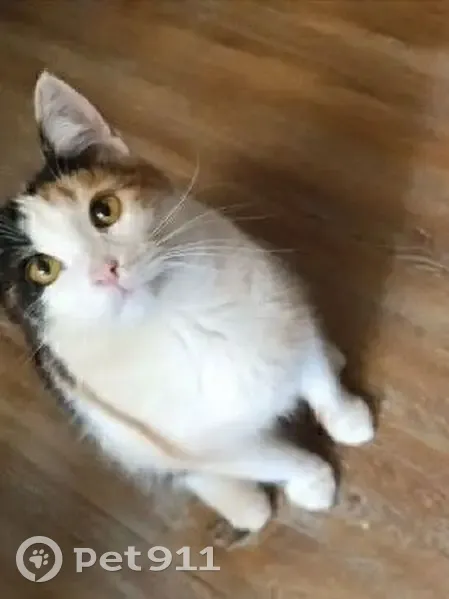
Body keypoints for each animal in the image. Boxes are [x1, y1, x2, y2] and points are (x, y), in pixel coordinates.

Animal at [0, 71, 374, 539]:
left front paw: (348, 418)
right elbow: (271, 458)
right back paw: (243, 502)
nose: (107, 270)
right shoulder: (191, 441)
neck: (181, 320)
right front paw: (313, 480)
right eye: (41, 269)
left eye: (104, 210)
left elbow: (317, 379)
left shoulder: (286, 315)